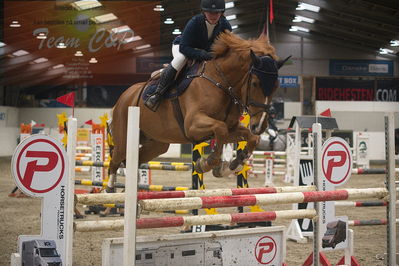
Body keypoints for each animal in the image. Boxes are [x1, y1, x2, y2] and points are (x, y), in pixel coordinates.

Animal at [106, 32, 288, 191]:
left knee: (134, 160)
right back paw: (110, 190)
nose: (260, 126)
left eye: (277, 85)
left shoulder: (231, 128)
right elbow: (220, 129)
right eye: (255, 83)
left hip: (157, 143)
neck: (221, 82)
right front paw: (207, 163)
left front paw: (233, 165)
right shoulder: (193, 125)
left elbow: (250, 138)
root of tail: (124, 96)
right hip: (124, 138)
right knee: (115, 161)